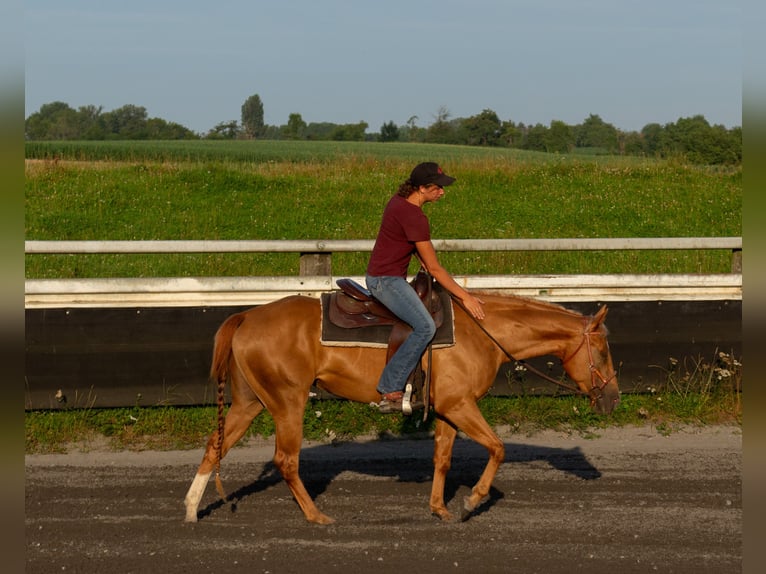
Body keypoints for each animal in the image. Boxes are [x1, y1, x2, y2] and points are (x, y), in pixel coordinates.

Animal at [186, 292, 624, 528]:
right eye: (602, 351)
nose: (613, 399)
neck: (480, 333)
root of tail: (246, 316)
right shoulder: (461, 405)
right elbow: (498, 448)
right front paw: (473, 500)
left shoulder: (449, 410)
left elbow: (443, 459)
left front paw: (439, 509)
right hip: (287, 403)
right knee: (286, 460)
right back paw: (316, 516)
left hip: (250, 402)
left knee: (214, 446)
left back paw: (191, 510)